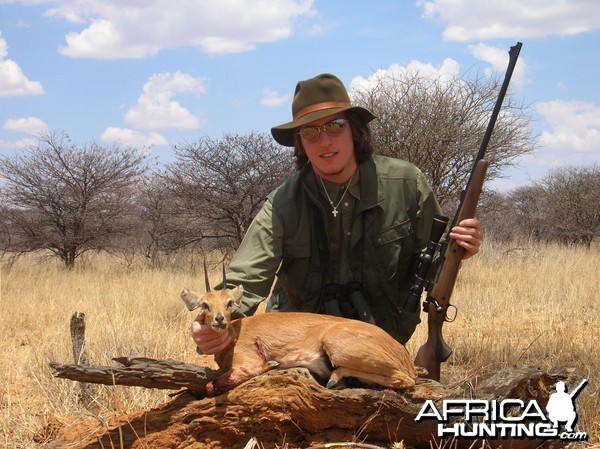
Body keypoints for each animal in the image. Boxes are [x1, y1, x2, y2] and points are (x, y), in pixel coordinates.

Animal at [182, 264, 418, 394]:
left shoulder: (246, 363)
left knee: (405, 380)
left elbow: (211, 385)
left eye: (229, 302)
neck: (233, 337)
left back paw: (334, 379)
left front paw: (272, 364)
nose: (219, 320)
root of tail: (403, 355)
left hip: (338, 348)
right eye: (205, 304)